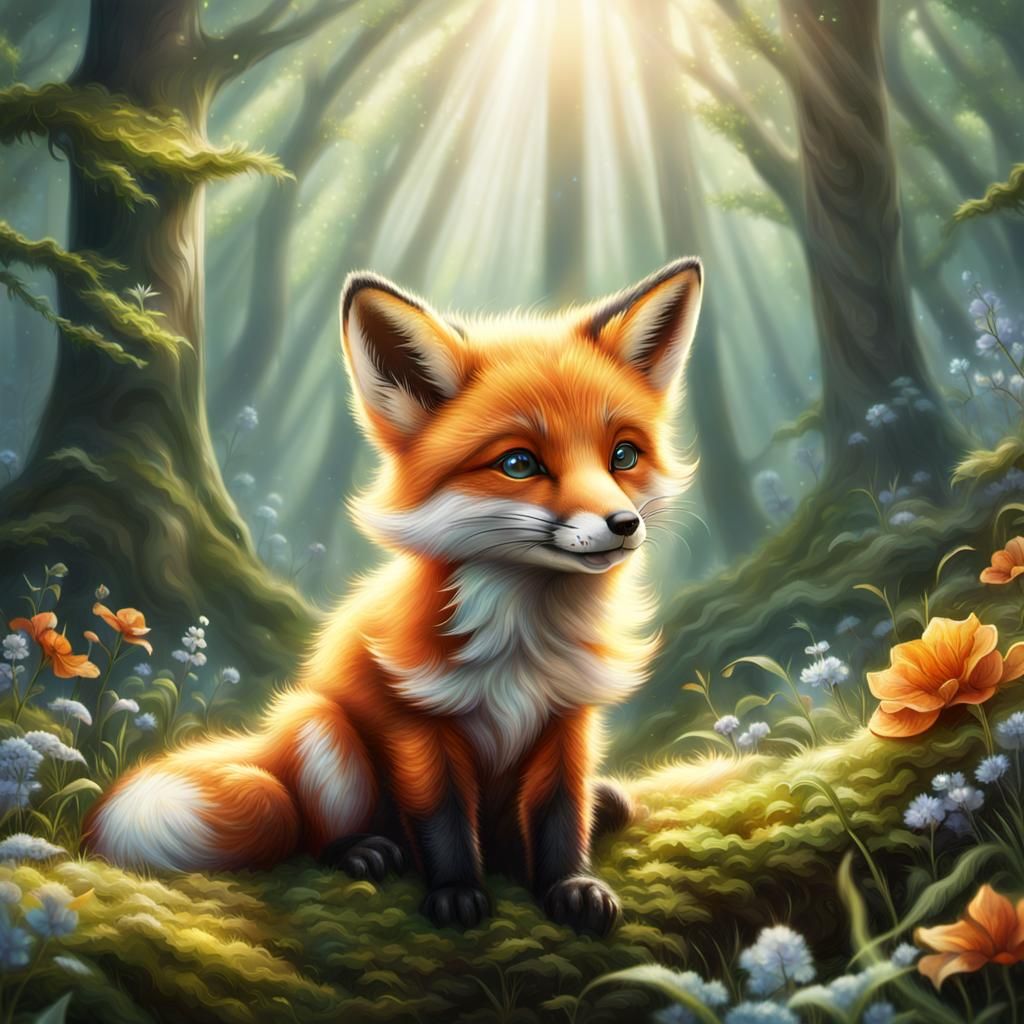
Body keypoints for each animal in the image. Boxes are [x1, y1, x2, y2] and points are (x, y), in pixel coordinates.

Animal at [82, 257, 704, 935]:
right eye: (519, 464)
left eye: (624, 455)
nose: (624, 524)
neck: (523, 643)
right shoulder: (415, 719)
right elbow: (443, 818)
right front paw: (456, 893)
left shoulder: (567, 718)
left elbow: (561, 815)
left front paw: (571, 885)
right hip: (321, 730)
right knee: (315, 829)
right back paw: (362, 850)